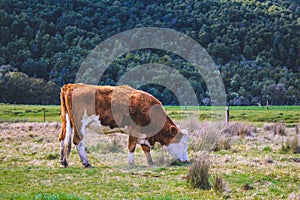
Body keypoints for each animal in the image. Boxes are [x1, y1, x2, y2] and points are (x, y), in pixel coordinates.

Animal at [58, 83, 188, 168]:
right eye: (182, 143)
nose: (186, 160)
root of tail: (71, 86)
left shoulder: (143, 134)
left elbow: (145, 148)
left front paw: (150, 162)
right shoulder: (134, 130)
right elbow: (132, 146)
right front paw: (131, 163)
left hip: (66, 121)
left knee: (62, 138)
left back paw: (63, 162)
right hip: (79, 124)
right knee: (77, 140)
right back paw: (86, 162)